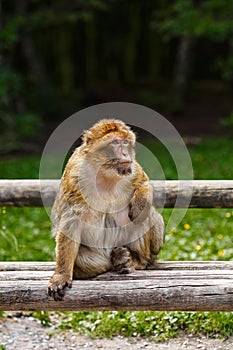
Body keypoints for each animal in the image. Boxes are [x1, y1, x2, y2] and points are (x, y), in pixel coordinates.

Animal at [47, 119, 164, 300]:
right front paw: (61, 275)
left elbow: (144, 183)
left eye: (125, 142)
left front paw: (139, 204)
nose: (125, 154)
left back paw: (135, 261)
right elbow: (71, 221)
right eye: (115, 142)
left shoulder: (131, 168)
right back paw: (117, 260)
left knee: (146, 216)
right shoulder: (75, 174)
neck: (105, 173)